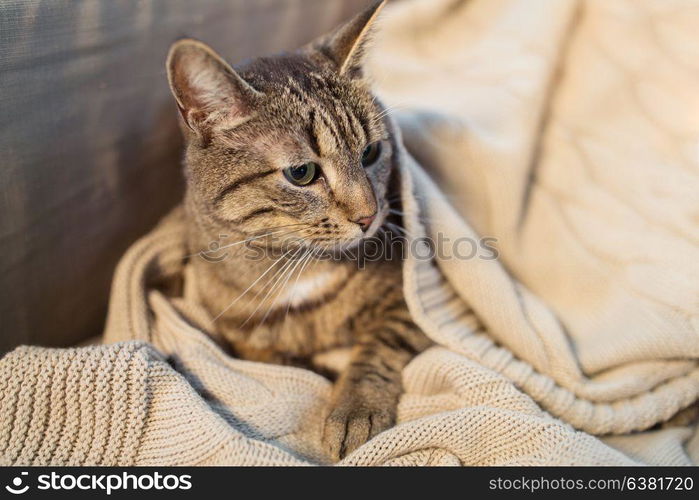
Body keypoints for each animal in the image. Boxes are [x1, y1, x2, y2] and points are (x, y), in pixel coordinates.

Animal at [167, 0, 432, 460]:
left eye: (371, 152)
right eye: (302, 173)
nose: (369, 216)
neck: (298, 267)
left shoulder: (409, 302)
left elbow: (379, 347)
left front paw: (355, 407)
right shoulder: (234, 333)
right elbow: (272, 359)